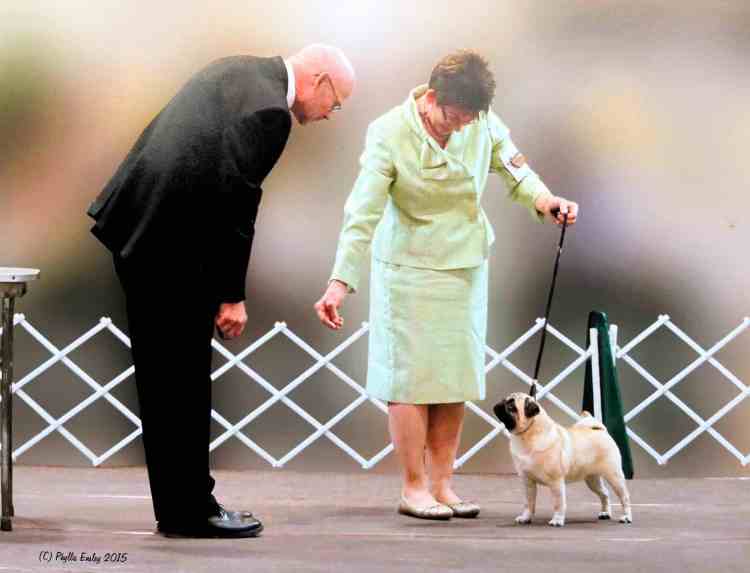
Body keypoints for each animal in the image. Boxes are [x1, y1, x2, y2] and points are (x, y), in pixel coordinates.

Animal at [493, 385, 633, 527]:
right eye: (505, 400)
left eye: (511, 406)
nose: (498, 404)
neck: (528, 436)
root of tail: (600, 430)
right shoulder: (528, 482)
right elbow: (528, 503)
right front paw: (525, 518)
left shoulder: (556, 482)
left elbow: (558, 503)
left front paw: (557, 520)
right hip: (592, 480)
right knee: (604, 494)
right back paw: (605, 513)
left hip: (614, 476)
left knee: (624, 497)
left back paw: (626, 517)